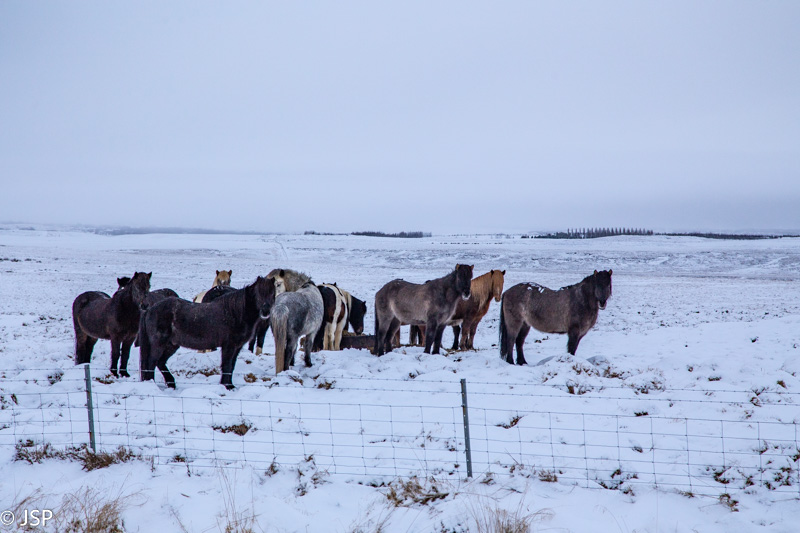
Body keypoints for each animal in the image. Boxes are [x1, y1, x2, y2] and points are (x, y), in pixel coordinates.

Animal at [139, 276, 276, 389]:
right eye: (258, 293)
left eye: (272, 293)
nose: (266, 311)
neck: (235, 313)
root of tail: (150, 309)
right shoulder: (229, 346)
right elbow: (226, 366)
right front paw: (227, 386)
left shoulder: (237, 347)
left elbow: (231, 367)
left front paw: (230, 385)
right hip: (159, 344)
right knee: (152, 362)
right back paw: (152, 384)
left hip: (171, 345)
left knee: (160, 362)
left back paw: (171, 383)